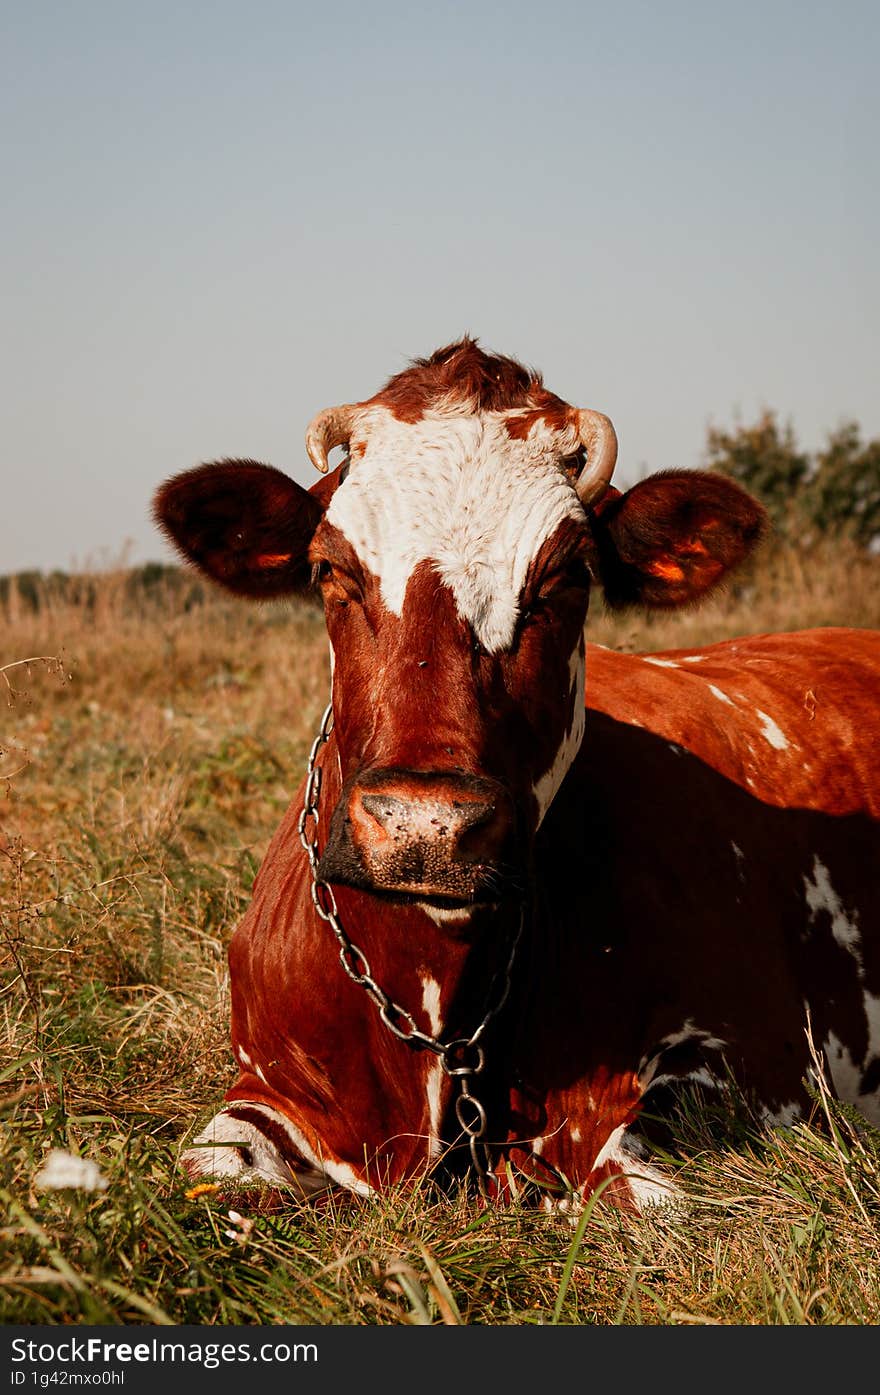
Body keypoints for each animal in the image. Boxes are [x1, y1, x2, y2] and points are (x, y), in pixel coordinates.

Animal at [153, 337, 880, 1210]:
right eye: (332, 570)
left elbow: (638, 1184)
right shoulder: (265, 1090)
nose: (425, 823)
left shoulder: (760, 1069)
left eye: (566, 576)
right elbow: (209, 1167)